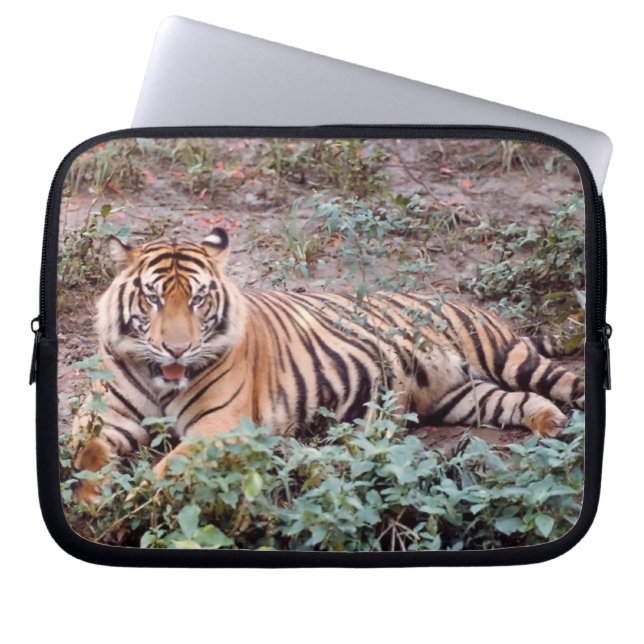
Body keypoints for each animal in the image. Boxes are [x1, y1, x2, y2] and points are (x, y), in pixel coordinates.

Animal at [73, 227, 584, 503]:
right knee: (516, 401)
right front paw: (92, 499)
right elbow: (87, 456)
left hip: (505, 356)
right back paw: (549, 423)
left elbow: (169, 468)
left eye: (198, 299)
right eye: (154, 298)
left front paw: (135, 499)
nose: (177, 350)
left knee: (564, 380)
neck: (160, 379)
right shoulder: (101, 417)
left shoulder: (219, 426)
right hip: (459, 398)